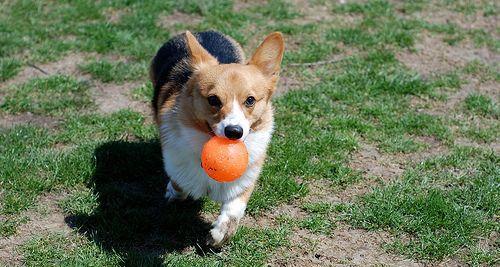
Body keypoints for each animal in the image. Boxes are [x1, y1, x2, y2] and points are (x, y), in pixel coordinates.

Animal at [149, 30, 286, 248]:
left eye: (250, 100)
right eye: (213, 99)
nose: (234, 131)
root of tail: (204, 32)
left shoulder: (246, 177)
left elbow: (234, 207)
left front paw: (220, 233)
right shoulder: (175, 158)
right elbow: (179, 181)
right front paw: (173, 192)